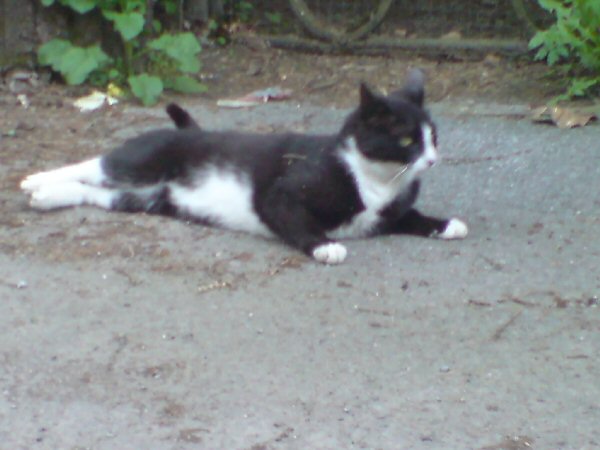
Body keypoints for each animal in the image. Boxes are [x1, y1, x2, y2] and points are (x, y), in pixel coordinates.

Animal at [20, 69, 467, 264]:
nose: (432, 159)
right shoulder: (281, 193)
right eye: (407, 141)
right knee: (95, 165)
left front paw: (446, 224)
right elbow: (297, 220)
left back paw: (46, 198)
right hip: (141, 161)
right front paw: (324, 245)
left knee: (97, 194)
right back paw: (35, 180)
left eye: (434, 137)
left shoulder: (390, 213)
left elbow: (412, 217)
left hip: (143, 199)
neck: (377, 181)